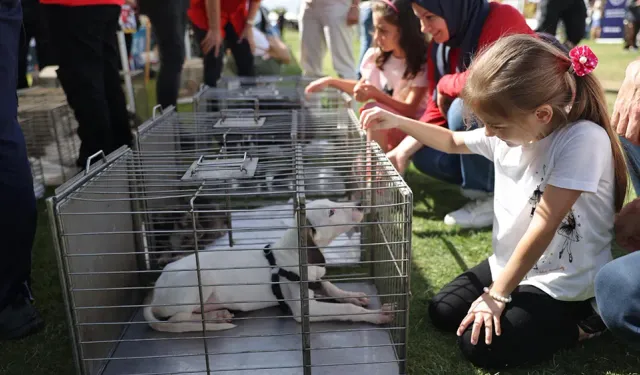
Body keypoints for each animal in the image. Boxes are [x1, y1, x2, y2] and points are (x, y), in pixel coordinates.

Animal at [144, 198, 392, 334]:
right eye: (331, 212)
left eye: (333, 202)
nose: (360, 204)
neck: (294, 252)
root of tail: (155, 293)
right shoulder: (307, 309)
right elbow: (347, 310)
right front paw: (376, 315)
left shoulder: (315, 279)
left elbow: (332, 287)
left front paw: (353, 295)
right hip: (199, 280)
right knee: (178, 318)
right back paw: (213, 319)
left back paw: (217, 314)